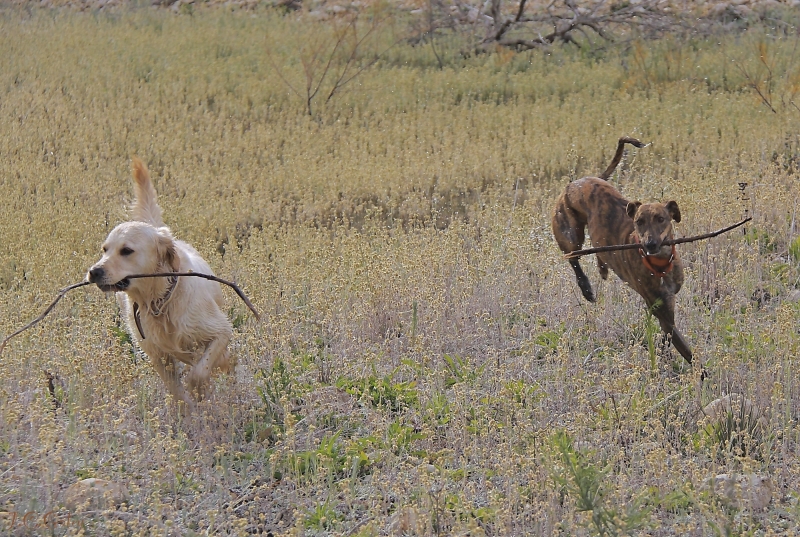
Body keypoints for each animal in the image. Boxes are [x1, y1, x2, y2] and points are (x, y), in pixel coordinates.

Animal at [88, 159, 231, 410]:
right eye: (105, 249)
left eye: (126, 250)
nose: (94, 272)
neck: (160, 302)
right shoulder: (158, 356)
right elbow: (177, 391)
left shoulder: (220, 331)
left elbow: (200, 372)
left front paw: (201, 391)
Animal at [552, 136, 692, 366]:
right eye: (638, 222)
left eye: (661, 219)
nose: (649, 245)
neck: (660, 264)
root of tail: (575, 182)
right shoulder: (660, 310)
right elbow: (687, 351)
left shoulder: (667, 307)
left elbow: (668, 338)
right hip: (570, 234)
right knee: (573, 258)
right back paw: (586, 287)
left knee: (598, 252)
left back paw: (602, 269)